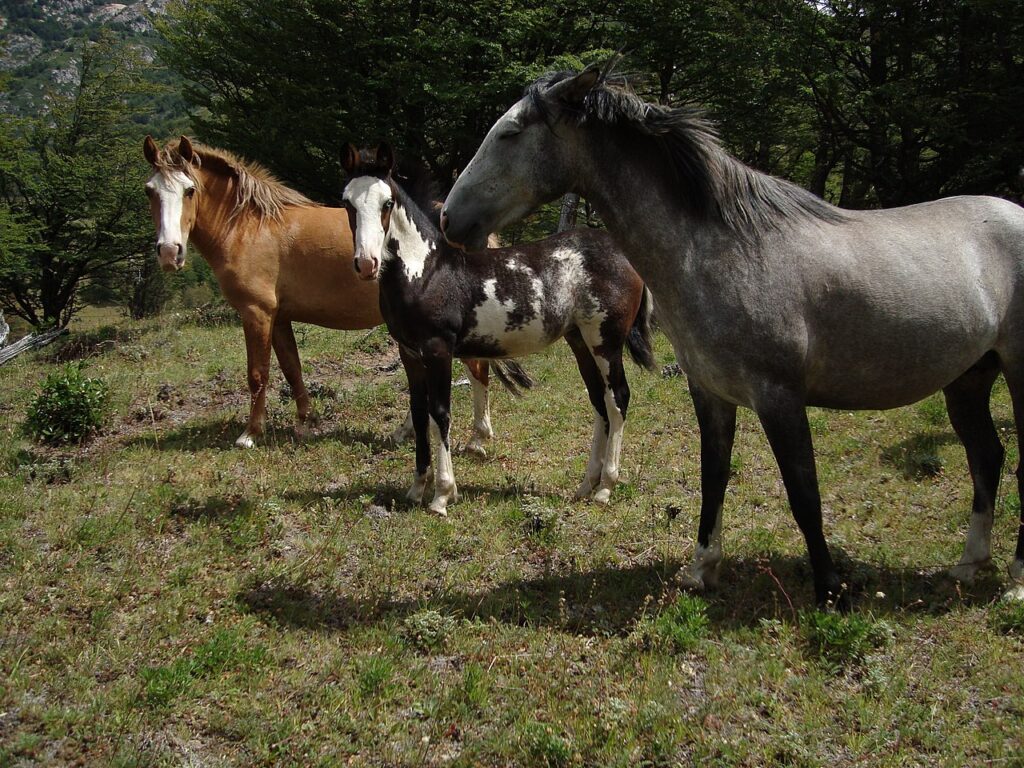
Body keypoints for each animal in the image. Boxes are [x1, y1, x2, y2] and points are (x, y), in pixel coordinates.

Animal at [142, 137, 509, 450]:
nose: (169, 252)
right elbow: (292, 368)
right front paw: (307, 420)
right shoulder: (279, 318)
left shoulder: (256, 313)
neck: (248, 227)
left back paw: (476, 438)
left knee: (477, 369)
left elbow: (258, 373)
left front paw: (250, 433)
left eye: (189, 190)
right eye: (150, 192)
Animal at [339, 144, 651, 518]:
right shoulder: (410, 354)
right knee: (599, 401)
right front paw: (416, 489)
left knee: (618, 399)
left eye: (387, 203)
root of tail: (623, 254)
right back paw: (585, 485)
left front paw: (442, 495)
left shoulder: (438, 350)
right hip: (580, 342)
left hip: (606, 342)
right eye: (346, 202)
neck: (426, 272)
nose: (366, 264)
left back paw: (605, 487)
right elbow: (419, 414)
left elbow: (439, 414)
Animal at [442, 66, 1024, 606]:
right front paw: (702, 569)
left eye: (511, 132)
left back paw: (1014, 585)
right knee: (987, 458)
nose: (449, 218)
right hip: (968, 380)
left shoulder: (780, 399)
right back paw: (969, 566)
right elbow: (713, 476)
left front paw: (830, 589)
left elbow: (804, 493)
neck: (728, 252)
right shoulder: (711, 394)